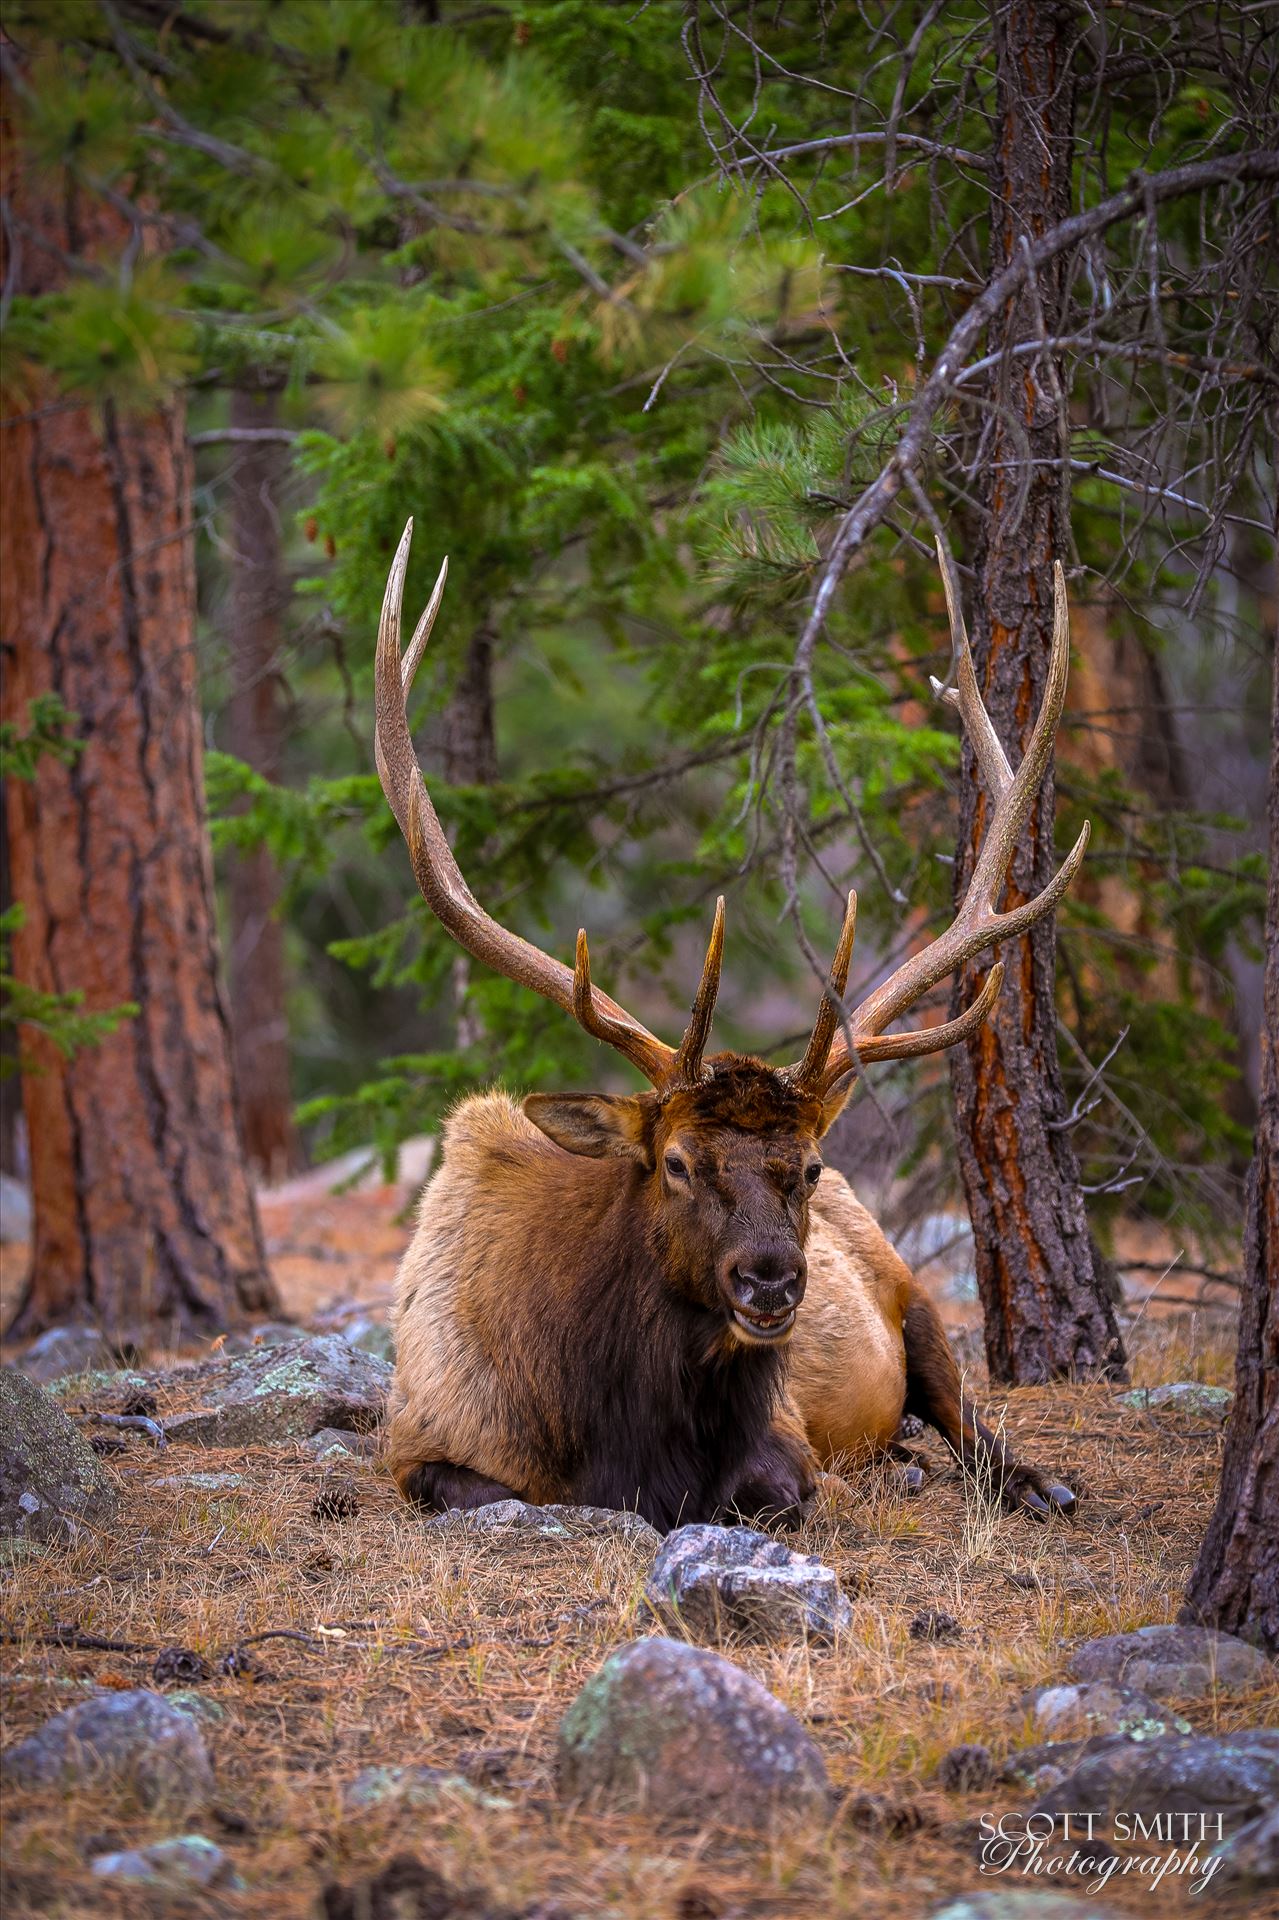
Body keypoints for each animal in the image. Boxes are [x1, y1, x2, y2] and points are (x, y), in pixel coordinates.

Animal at [374, 526, 1083, 1528]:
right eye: (675, 1163)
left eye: (810, 1166)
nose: (772, 1278)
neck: (618, 1431)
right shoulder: (414, 1443)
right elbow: (477, 1489)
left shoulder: (786, 1442)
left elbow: (778, 1490)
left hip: (915, 1299)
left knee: (969, 1426)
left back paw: (1017, 1480)